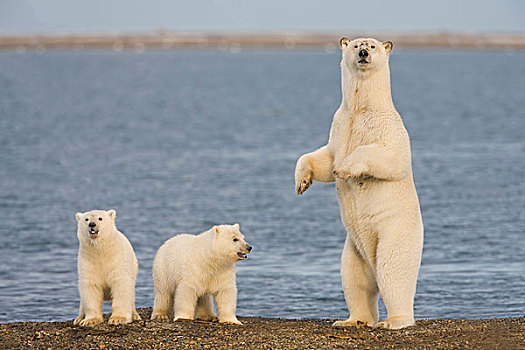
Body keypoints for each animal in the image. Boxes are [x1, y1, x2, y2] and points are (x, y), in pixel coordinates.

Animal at [294, 37, 422, 330]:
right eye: (355, 46)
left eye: (372, 46)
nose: (363, 53)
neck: (361, 108)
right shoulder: (339, 125)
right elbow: (324, 157)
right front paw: (302, 181)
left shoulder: (389, 127)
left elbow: (391, 157)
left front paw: (345, 168)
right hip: (354, 249)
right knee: (355, 279)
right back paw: (351, 320)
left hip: (394, 233)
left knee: (393, 271)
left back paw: (393, 321)